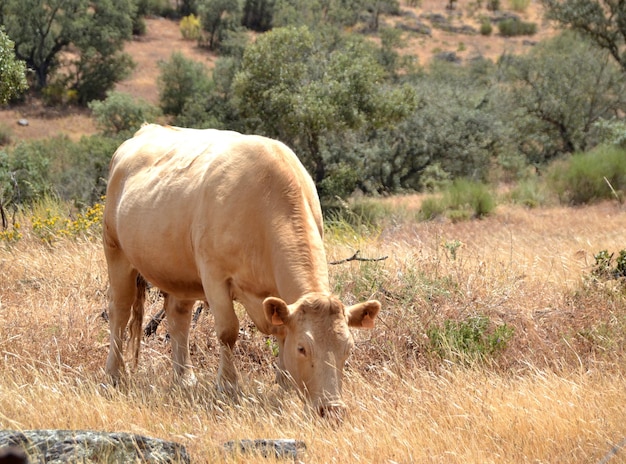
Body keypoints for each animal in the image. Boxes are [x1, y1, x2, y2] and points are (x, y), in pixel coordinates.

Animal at [101, 125, 380, 418]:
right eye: (303, 348)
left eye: (347, 349)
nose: (332, 408)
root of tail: (147, 129)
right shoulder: (214, 275)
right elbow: (228, 331)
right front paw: (228, 387)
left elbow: (281, 332)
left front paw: (284, 386)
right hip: (115, 250)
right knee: (119, 311)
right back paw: (113, 376)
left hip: (180, 271)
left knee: (179, 317)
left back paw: (184, 379)